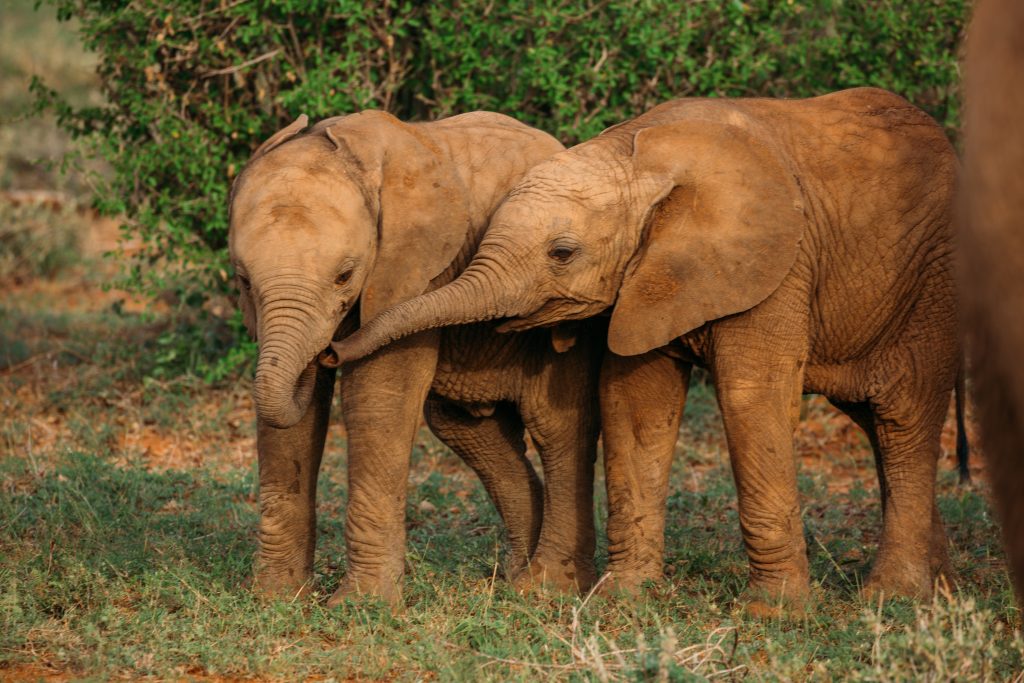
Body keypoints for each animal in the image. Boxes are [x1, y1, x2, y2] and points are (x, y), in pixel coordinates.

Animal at [228, 109, 602, 606]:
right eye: (244, 280)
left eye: (345, 276)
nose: (328, 352)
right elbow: (291, 425)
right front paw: (275, 597)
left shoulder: (417, 270)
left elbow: (379, 394)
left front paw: (361, 606)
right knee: (466, 429)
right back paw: (513, 578)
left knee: (556, 428)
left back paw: (548, 587)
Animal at [329, 87, 966, 614]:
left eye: (562, 252)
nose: (334, 350)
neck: (638, 158)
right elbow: (634, 402)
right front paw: (624, 598)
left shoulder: (778, 262)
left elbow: (751, 397)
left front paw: (771, 613)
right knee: (874, 423)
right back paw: (940, 587)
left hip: (932, 280)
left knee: (903, 416)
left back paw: (894, 597)